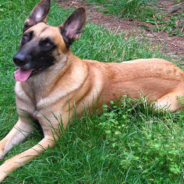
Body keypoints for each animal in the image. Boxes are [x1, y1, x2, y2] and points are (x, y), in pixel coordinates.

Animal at [0, 0, 184, 181]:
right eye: (26, 36)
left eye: (47, 43)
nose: (18, 59)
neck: (38, 91)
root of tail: (180, 72)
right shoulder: (24, 123)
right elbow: (2, 144)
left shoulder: (51, 138)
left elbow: (16, 158)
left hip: (159, 106)